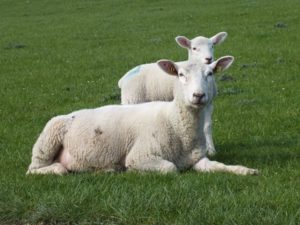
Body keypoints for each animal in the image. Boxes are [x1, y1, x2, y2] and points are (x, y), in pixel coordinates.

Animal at [26, 55, 258, 176]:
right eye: (180, 75)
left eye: (210, 74)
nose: (198, 95)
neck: (176, 123)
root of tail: (69, 114)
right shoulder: (141, 155)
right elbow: (170, 168)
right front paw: (132, 172)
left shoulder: (197, 159)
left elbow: (218, 166)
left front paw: (245, 170)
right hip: (48, 138)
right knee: (36, 169)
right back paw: (59, 168)